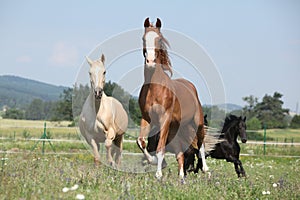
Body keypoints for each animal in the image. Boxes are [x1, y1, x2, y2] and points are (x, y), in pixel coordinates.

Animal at [137, 18, 207, 180]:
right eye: (143, 39)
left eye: (159, 39)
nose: (150, 61)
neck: (155, 89)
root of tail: (191, 87)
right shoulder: (146, 118)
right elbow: (141, 141)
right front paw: (154, 162)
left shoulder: (165, 119)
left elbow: (160, 148)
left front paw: (158, 174)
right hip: (177, 129)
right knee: (181, 153)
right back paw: (181, 177)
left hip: (197, 122)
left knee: (201, 144)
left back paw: (206, 170)